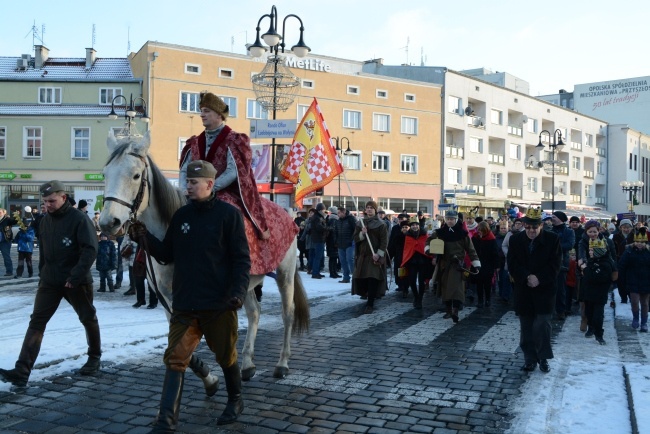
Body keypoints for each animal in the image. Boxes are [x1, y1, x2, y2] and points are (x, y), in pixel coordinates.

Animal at [98, 132, 308, 380]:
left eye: (136, 175)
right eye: (105, 174)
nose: (108, 223)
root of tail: (288, 213)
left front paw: (210, 375)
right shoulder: (168, 298)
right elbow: (178, 340)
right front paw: (204, 372)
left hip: (285, 275)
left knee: (288, 314)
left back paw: (282, 363)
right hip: (246, 283)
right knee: (255, 313)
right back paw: (247, 364)